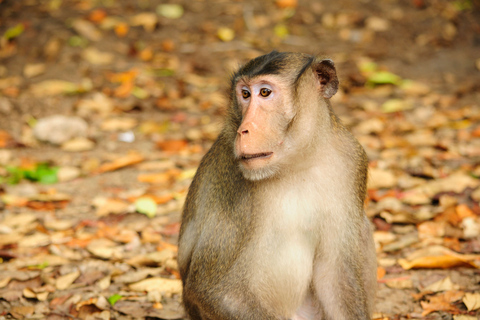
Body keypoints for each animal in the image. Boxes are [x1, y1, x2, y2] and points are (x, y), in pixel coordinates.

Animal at [178, 51, 376, 318]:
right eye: (245, 94)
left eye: (265, 92)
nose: (244, 130)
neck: (296, 162)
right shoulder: (232, 178)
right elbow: (215, 291)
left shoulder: (351, 159)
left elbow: (336, 275)